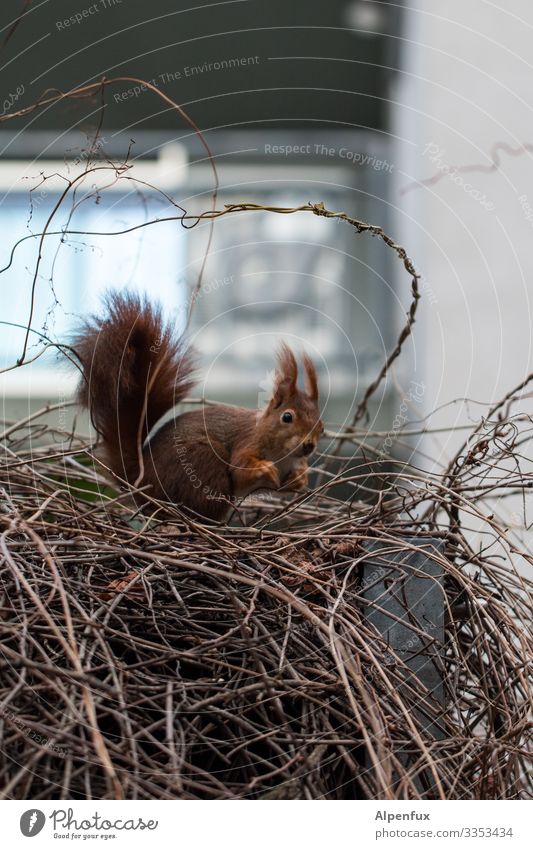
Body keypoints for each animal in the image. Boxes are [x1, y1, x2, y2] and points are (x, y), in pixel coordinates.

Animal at [72, 290, 322, 516]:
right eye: (287, 417)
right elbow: (240, 470)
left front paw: (300, 479)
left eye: (321, 426)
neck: (282, 454)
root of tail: (142, 484)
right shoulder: (247, 442)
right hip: (204, 464)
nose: (309, 445)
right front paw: (265, 468)